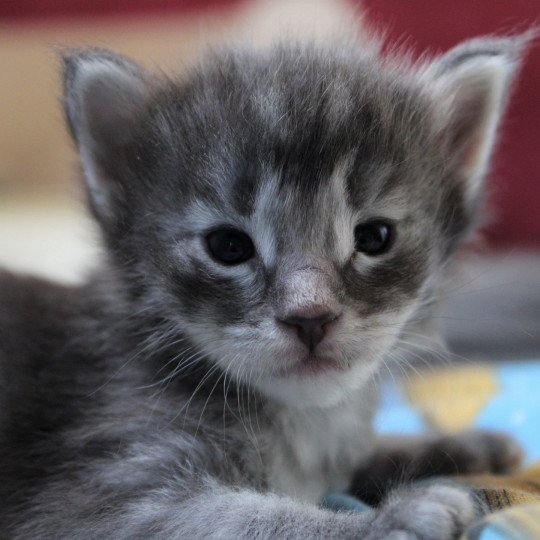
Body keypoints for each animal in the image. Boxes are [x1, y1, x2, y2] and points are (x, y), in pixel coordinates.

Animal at [0, 32, 528, 536]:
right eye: (229, 247)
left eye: (375, 237)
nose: (310, 317)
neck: (305, 424)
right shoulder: (109, 487)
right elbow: (256, 518)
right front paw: (394, 517)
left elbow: (356, 456)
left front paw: (456, 444)